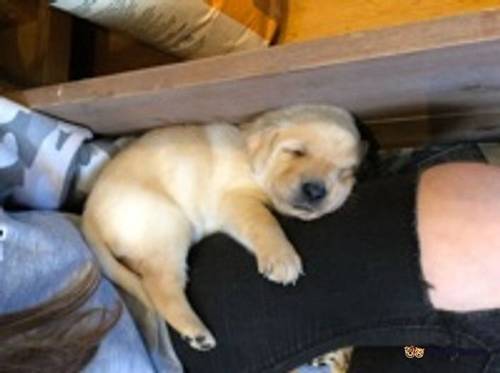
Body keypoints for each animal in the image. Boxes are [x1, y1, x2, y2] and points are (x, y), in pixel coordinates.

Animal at [83, 104, 364, 348]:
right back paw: (196, 331)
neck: (252, 160)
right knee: (160, 286)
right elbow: (265, 221)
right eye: (296, 152)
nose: (316, 191)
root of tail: (88, 214)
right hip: (166, 223)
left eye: (344, 172)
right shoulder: (235, 200)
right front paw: (282, 258)